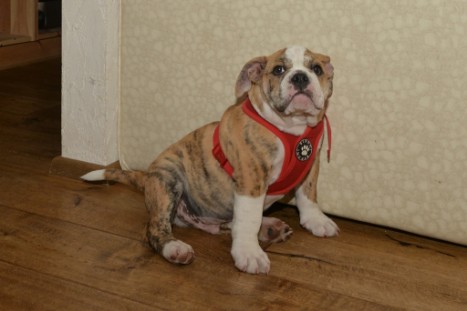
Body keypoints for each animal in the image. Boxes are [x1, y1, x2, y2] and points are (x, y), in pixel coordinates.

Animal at [82, 45, 338, 274]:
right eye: (278, 70)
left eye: (316, 68)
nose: (300, 77)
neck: (293, 128)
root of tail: (147, 178)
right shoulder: (250, 178)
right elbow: (248, 219)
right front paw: (249, 254)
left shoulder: (310, 166)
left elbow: (308, 195)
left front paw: (316, 220)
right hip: (169, 180)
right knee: (155, 228)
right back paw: (175, 248)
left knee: (227, 224)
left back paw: (269, 228)